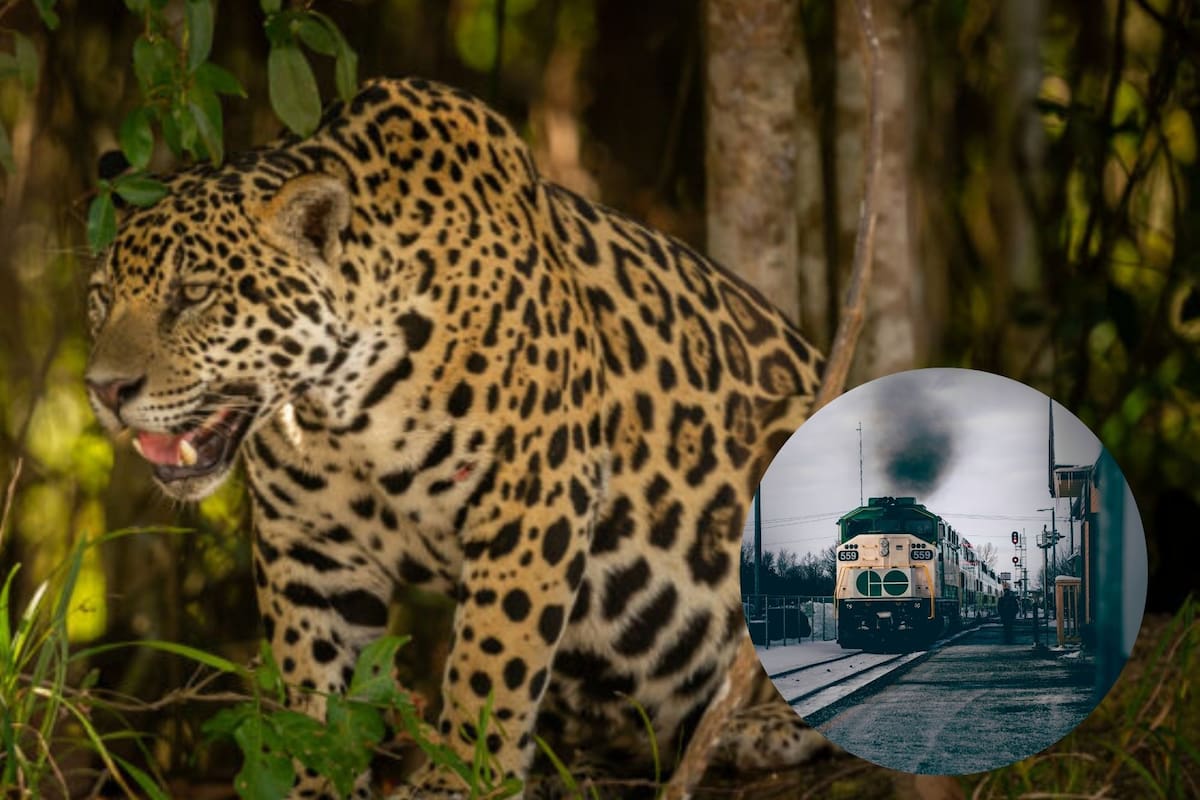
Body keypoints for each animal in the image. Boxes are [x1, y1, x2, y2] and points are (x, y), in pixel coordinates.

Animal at [85, 77, 831, 798]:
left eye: (193, 294)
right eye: (101, 298)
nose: (104, 389)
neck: (336, 408)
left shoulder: (533, 489)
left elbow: (492, 655)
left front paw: (463, 776)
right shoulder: (307, 542)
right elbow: (312, 687)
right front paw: (315, 781)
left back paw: (762, 726)